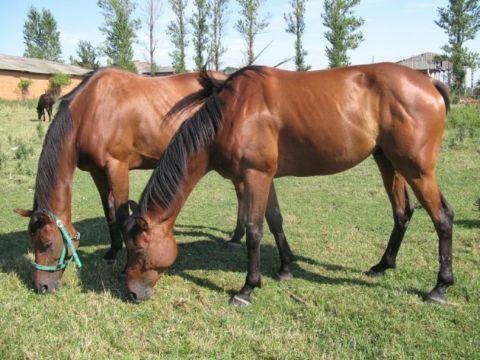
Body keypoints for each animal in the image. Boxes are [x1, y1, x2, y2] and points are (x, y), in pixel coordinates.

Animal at [124, 62, 454, 306]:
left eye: (138, 250)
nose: (132, 293)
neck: (234, 113)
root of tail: (428, 82)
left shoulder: (254, 177)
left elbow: (254, 230)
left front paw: (247, 288)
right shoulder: (264, 178)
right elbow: (275, 220)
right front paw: (284, 269)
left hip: (417, 170)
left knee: (442, 218)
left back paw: (440, 287)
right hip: (389, 163)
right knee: (402, 213)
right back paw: (382, 266)